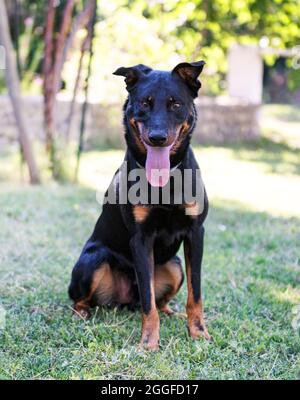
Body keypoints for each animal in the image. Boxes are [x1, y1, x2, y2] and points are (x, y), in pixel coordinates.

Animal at [68, 60, 210, 350]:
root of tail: (125, 299)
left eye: (175, 104)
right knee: (83, 299)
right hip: (93, 261)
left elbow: (196, 293)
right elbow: (148, 300)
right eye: (144, 103)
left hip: (174, 266)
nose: (157, 137)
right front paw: (148, 343)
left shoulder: (195, 234)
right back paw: (82, 313)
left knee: (161, 300)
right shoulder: (141, 238)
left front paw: (198, 332)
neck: (166, 180)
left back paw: (173, 313)